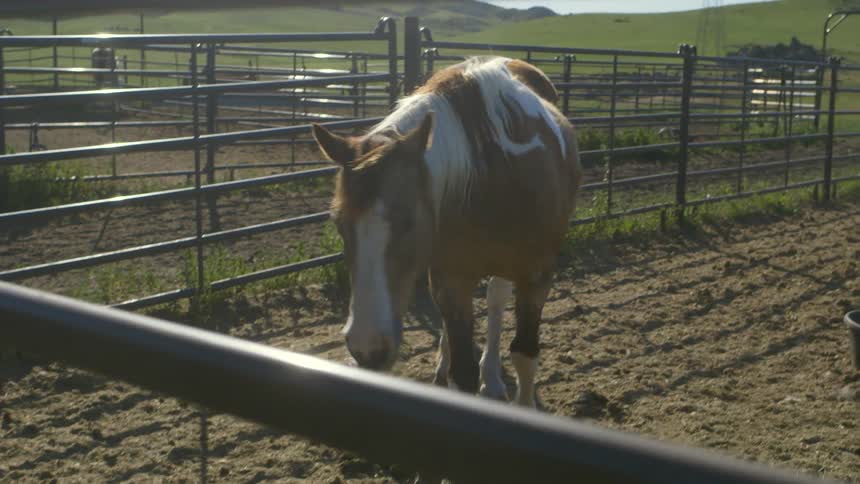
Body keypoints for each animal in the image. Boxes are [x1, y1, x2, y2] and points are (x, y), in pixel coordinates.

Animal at [312, 56, 582, 407]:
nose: (367, 348)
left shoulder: (537, 277)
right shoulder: (451, 278)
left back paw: (491, 377)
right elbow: (461, 371)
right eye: (339, 223)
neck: (495, 173)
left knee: (496, 300)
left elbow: (524, 356)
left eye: (409, 221)